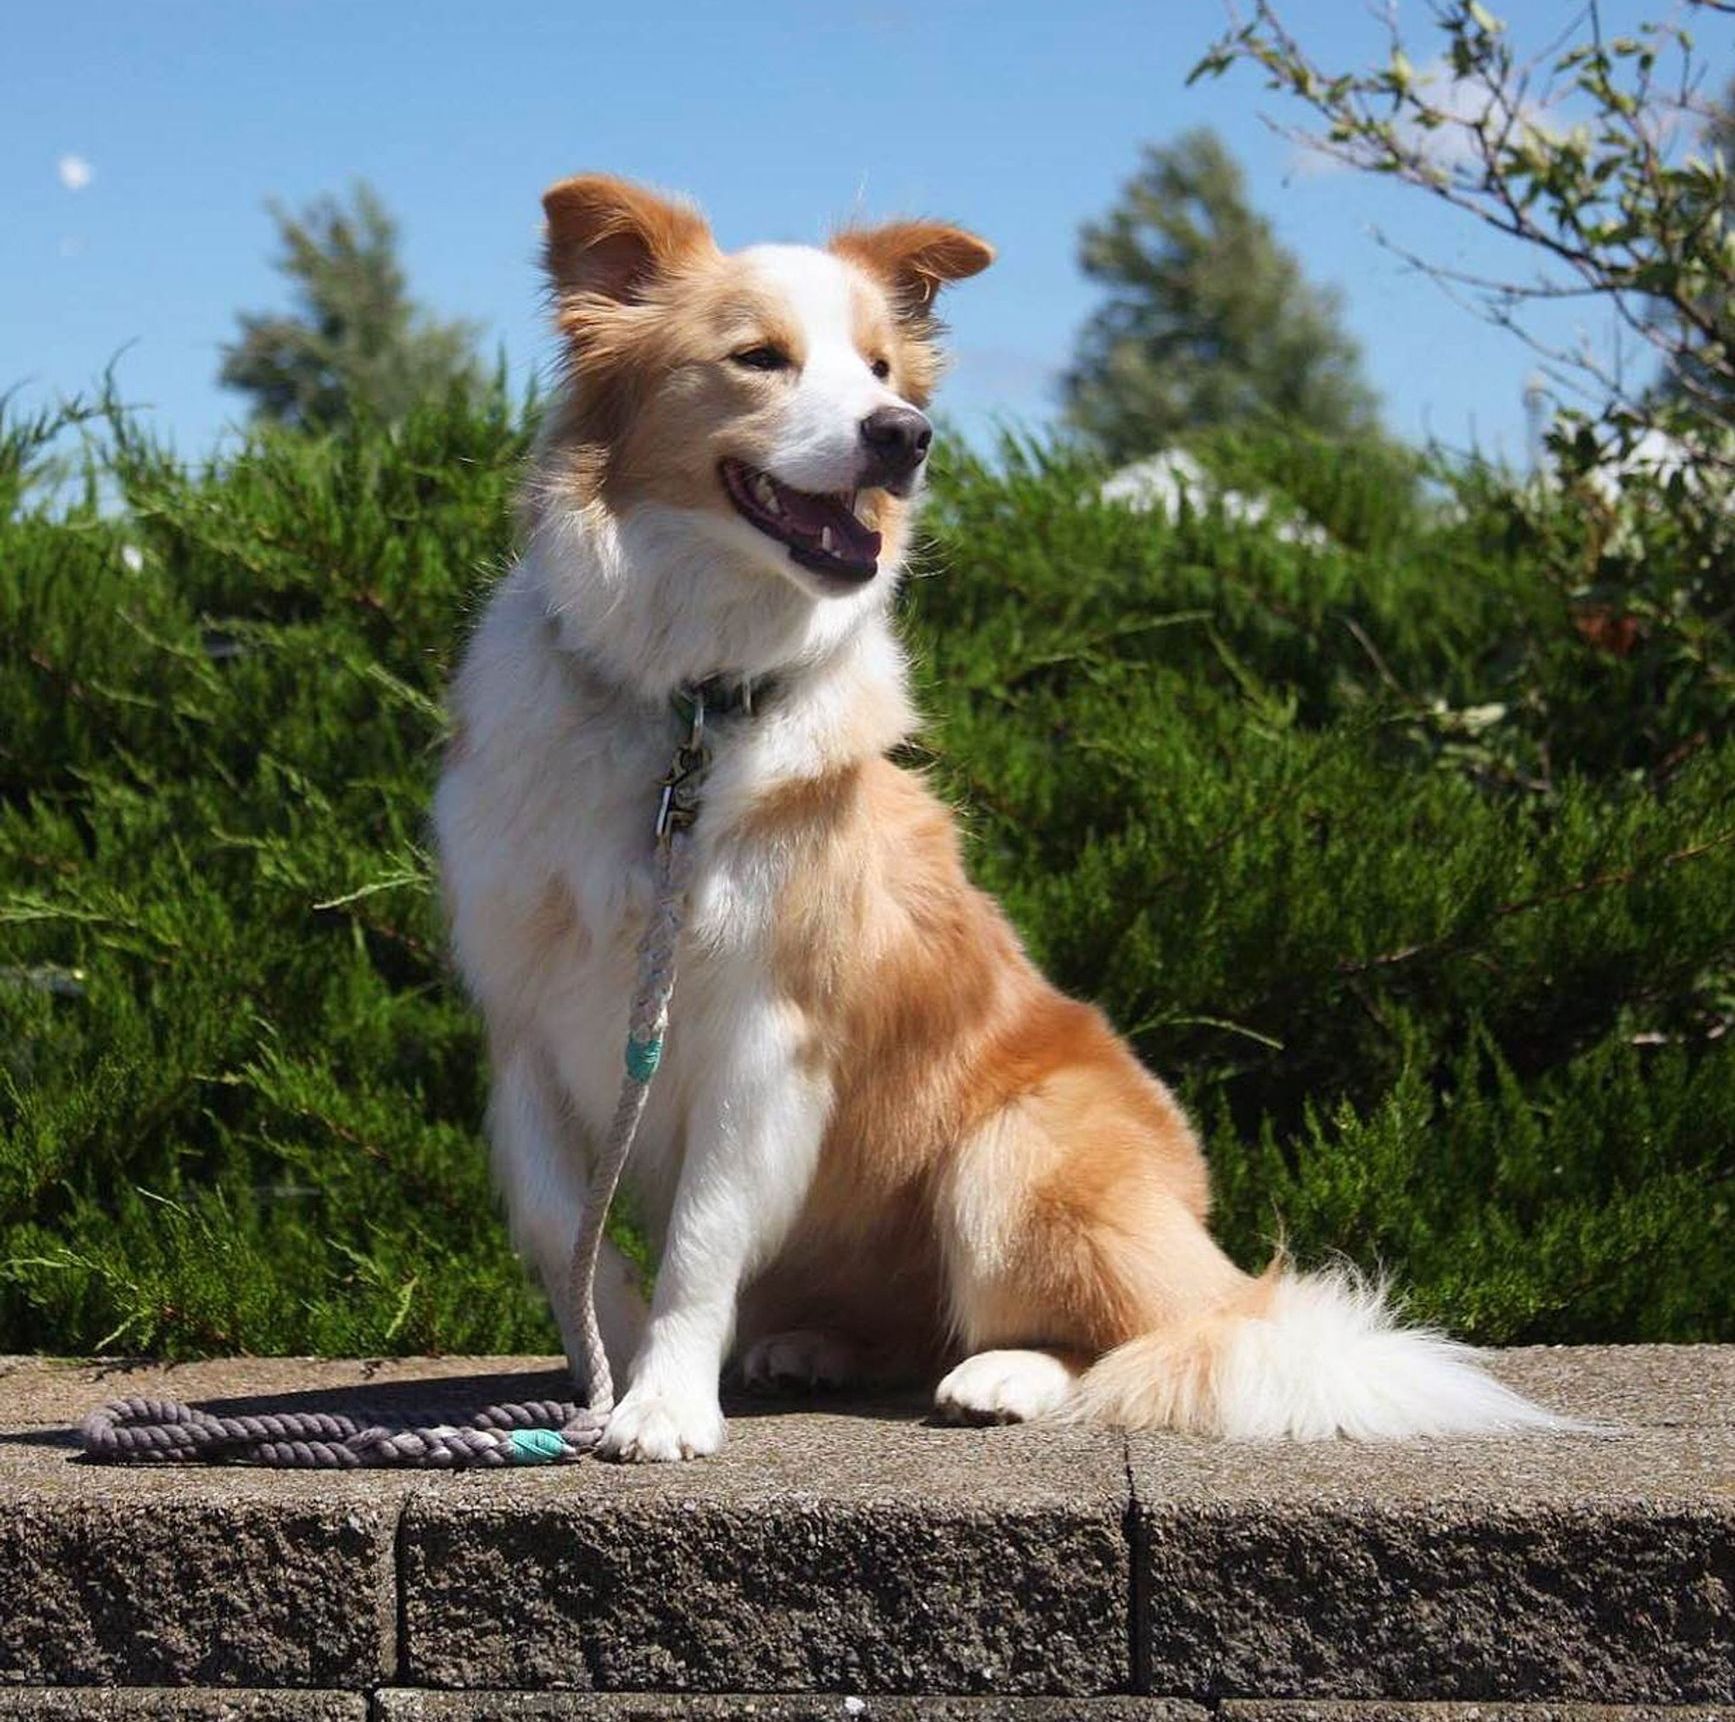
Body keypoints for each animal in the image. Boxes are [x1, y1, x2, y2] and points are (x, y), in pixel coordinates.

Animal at [430, 175, 1561, 1456]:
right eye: (759, 357)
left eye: (882, 369)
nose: (902, 436)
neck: (682, 704)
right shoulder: (523, 1022)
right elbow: (561, 1228)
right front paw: (606, 1380)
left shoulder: (768, 1029)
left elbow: (701, 1239)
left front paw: (663, 1402)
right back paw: (814, 1345)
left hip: (1015, 1156)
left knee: (1135, 1338)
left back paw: (1005, 1375)